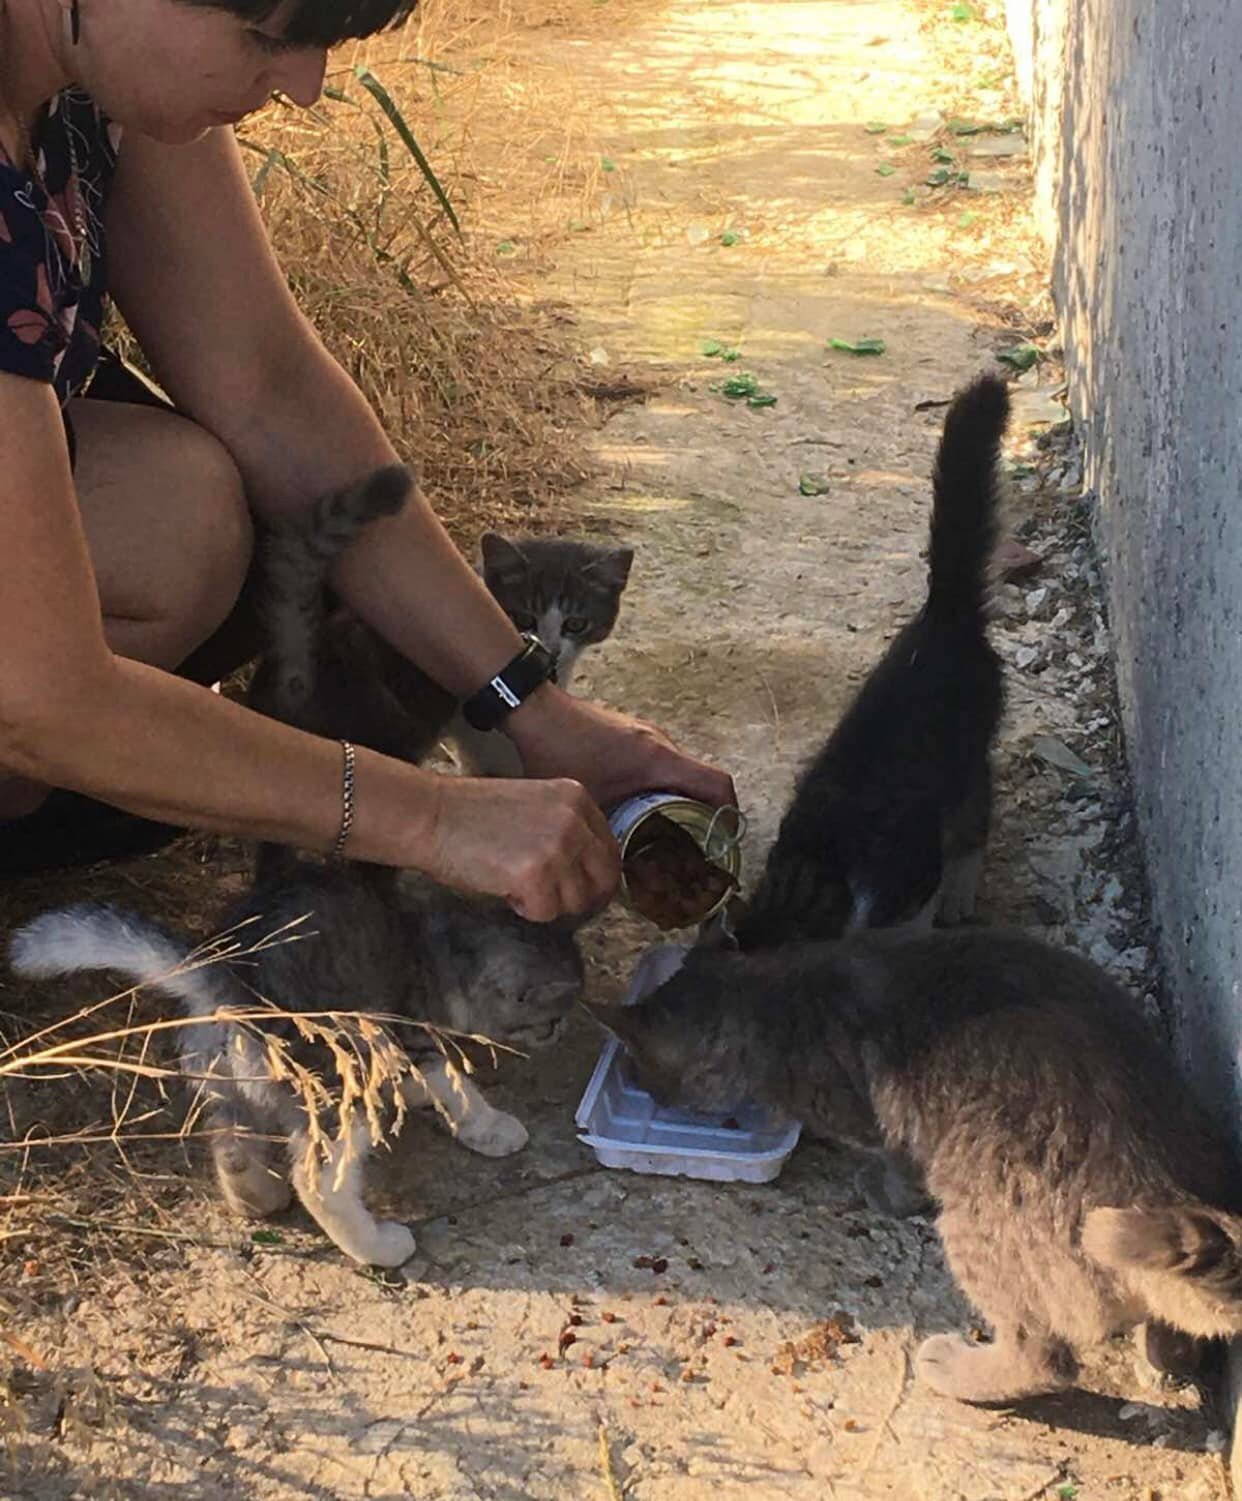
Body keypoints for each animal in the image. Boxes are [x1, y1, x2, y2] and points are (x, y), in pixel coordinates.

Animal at [9, 870, 585, 1266]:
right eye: (552, 1022)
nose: (563, 1033)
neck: (444, 938)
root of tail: (233, 985)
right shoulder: (413, 1041)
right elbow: (455, 1084)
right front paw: (491, 1126)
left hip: (223, 1083)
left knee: (232, 1147)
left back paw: (258, 1198)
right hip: (348, 1077)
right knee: (321, 1180)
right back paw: (378, 1246)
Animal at [588, 924, 1242, 1404]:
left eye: (639, 1066)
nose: (640, 1084)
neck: (776, 998)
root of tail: (1158, 1181)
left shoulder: (880, 1124)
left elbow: (893, 1165)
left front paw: (879, 1188)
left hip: (974, 1230)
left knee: (1045, 1359)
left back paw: (956, 1371)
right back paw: (1163, 1360)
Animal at [729, 372, 1009, 948]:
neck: (817, 872)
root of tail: (944, 613)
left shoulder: (912, 874)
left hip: (969, 754)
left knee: (975, 816)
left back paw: (960, 896)